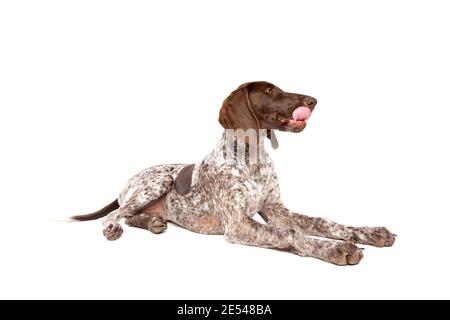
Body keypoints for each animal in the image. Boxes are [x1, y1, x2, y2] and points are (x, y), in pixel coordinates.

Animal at [72, 80, 396, 264]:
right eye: (270, 90)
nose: (313, 101)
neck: (252, 158)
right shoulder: (238, 224)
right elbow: (290, 232)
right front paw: (333, 249)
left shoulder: (275, 209)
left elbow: (323, 222)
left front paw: (369, 232)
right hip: (156, 182)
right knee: (117, 214)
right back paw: (113, 228)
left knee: (133, 216)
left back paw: (153, 223)